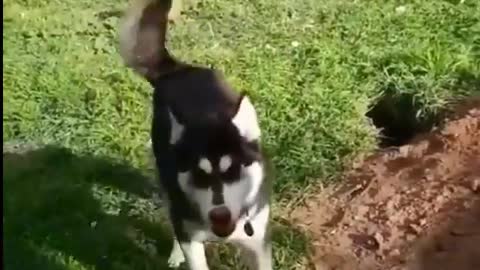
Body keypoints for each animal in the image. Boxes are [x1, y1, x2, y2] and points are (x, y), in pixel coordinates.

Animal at [118, 1, 272, 268]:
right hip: (167, 183)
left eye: (232, 170)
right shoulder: (191, 238)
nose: (219, 215)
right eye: (199, 175)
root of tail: (178, 70)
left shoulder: (258, 241)